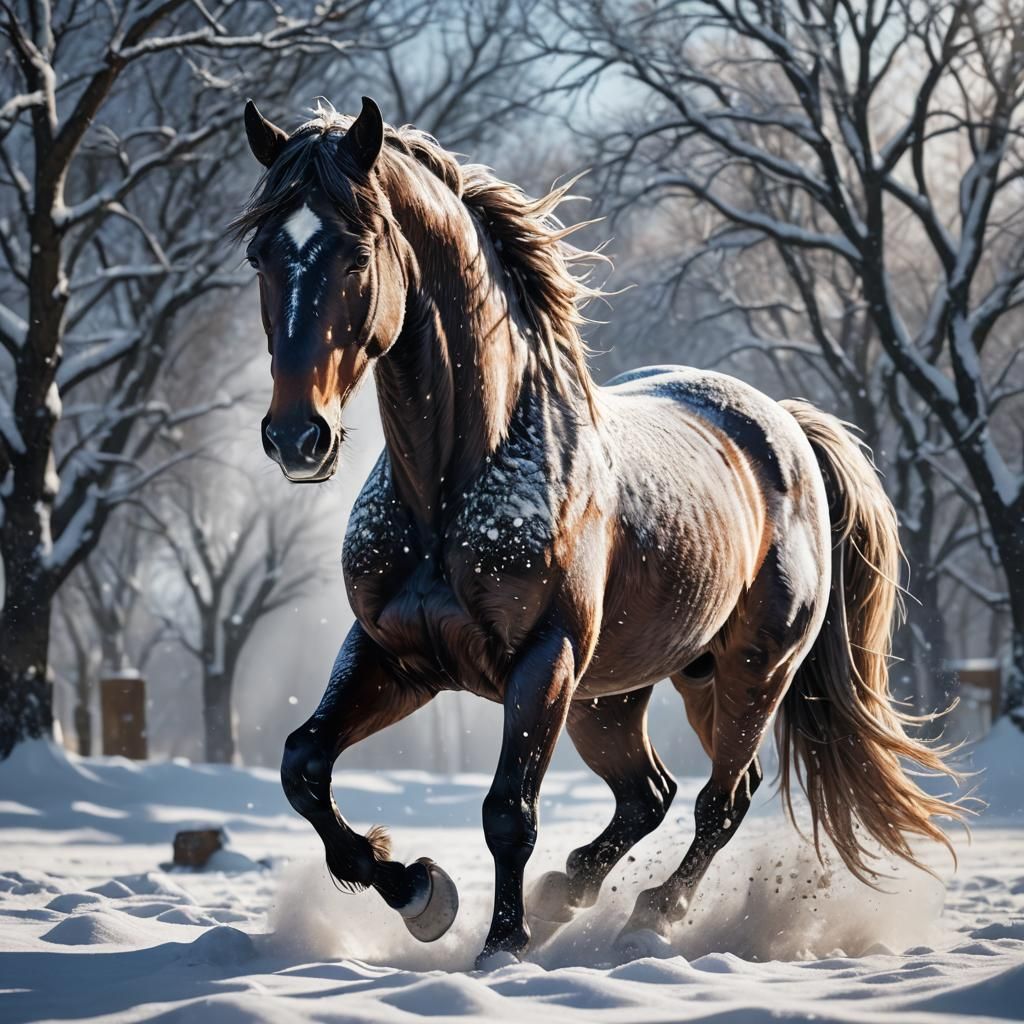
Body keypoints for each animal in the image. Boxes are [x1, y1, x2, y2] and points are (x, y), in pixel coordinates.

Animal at [235, 96, 964, 967]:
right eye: (261, 256)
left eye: (355, 254)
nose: (295, 438)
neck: (452, 490)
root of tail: (787, 427)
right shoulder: (393, 655)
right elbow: (303, 766)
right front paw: (419, 892)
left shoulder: (540, 663)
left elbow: (508, 811)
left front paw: (500, 945)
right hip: (621, 693)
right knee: (651, 794)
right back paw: (568, 894)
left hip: (750, 672)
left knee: (720, 800)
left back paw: (650, 913)